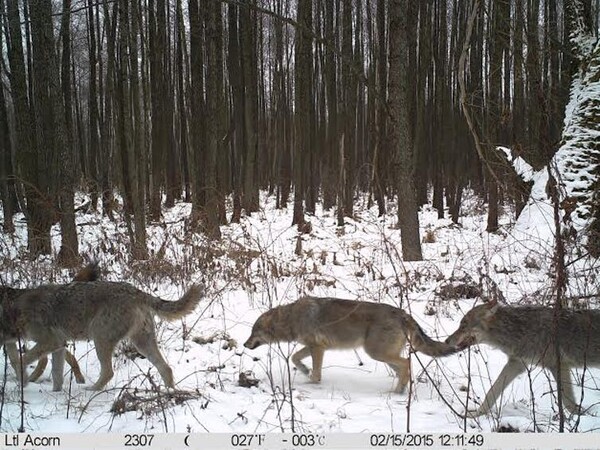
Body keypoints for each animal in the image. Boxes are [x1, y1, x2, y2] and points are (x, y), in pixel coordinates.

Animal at [0, 282, 204, 390]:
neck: (14, 310)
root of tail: (137, 291)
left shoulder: (51, 341)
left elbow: (20, 360)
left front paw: (23, 381)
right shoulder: (58, 346)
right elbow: (56, 374)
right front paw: (56, 394)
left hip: (100, 339)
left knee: (108, 372)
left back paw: (91, 390)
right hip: (141, 343)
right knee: (166, 368)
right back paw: (170, 393)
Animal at [245, 298, 460, 392]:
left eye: (253, 332)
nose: (245, 344)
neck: (291, 318)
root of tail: (402, 313)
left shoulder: (318, 348)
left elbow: (316, 373)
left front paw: (311, 381)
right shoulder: (313, 347)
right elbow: (295, 358)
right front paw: (305, 370)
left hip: (375, 353)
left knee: (407, 363)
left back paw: (398, 391)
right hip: (383, 356)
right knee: (404, 369)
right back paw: (400, 391)